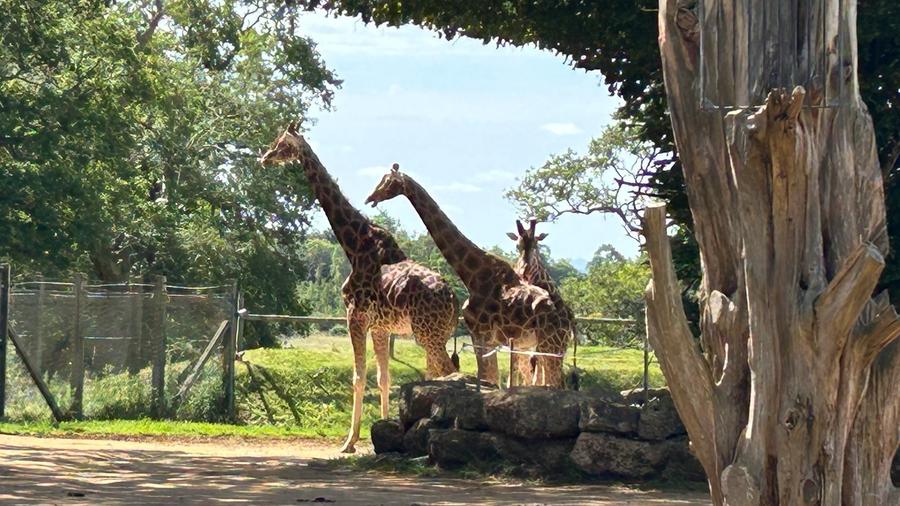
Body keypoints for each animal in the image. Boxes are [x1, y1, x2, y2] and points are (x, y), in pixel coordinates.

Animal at [260, 125, 458, 453]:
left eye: (281, 143)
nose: (264, 158)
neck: (355, 244)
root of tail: (455, 300)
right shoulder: (380, 327)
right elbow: (383, 378)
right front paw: (384, 431)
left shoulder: (355, 316)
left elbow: (358, 377)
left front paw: (349, 442)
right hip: (436, 334)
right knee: (438, 373)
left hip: (427, 334)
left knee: (446, 372)